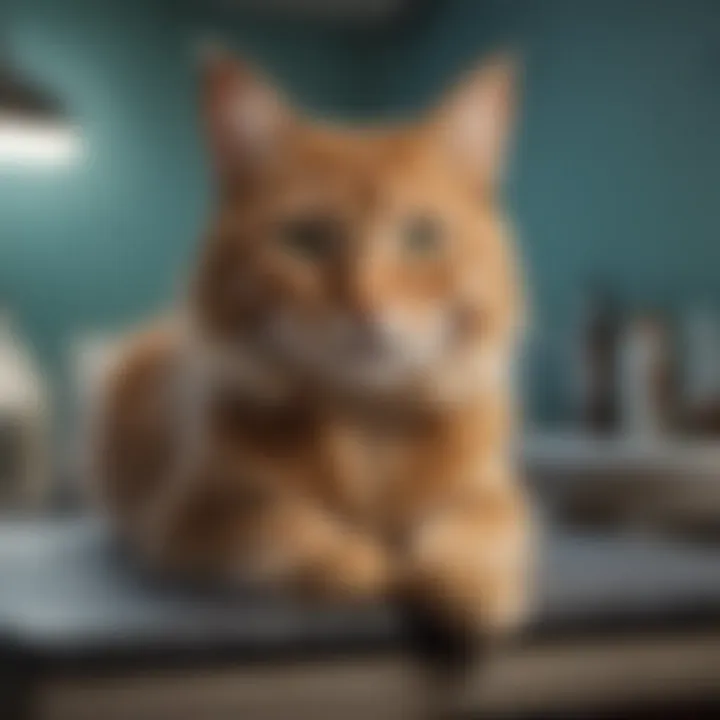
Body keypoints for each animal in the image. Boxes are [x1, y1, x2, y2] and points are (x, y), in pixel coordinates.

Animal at [94, 47, 528, 640]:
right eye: (306, 238)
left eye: (422, 235)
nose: (368, 306)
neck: (366, 419)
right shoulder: (193, 514)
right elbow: (282, 525)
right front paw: (360, 562)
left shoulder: (489, 492)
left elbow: (475, 529)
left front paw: (464, 582)